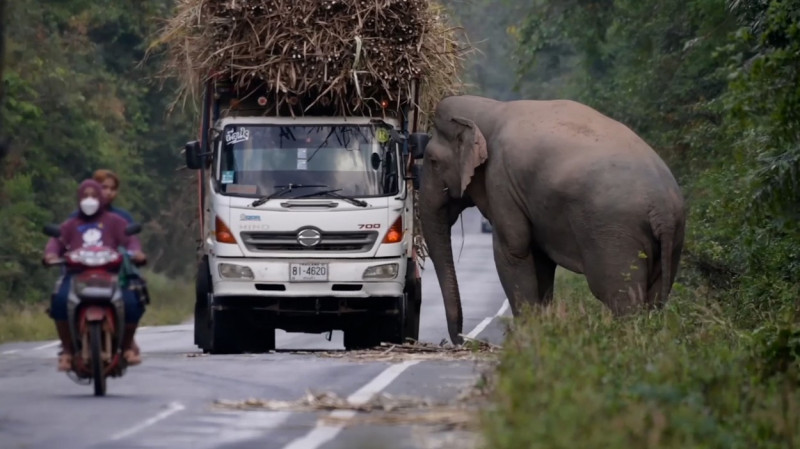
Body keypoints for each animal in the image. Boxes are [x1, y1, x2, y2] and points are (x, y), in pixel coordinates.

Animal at [418, 94, 688, 344]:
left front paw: (524, 341)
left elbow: (513, 250)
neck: (490, 108)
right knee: (654, 297)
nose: (460, 341)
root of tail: (663, 209)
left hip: (615, 235)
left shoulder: (502, 182)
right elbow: (541, 262)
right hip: (671, 240)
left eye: (432, 161)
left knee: (620, 297)